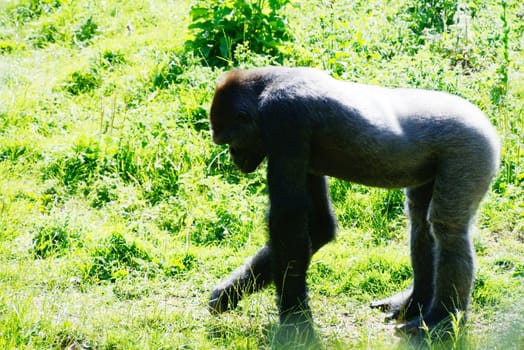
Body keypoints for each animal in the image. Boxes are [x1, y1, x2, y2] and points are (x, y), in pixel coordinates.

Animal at [207, 65, 502, 340]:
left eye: (231, 141)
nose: (234, 158)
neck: (265, 86)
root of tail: (485, 121)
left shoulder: (284, 118)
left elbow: (288, 223)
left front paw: (295, 324)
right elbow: (317, 225)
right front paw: (229, 293)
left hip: (472, 146)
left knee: (448, 229)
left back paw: (441, 317)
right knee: (420, 222)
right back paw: (415, 302)